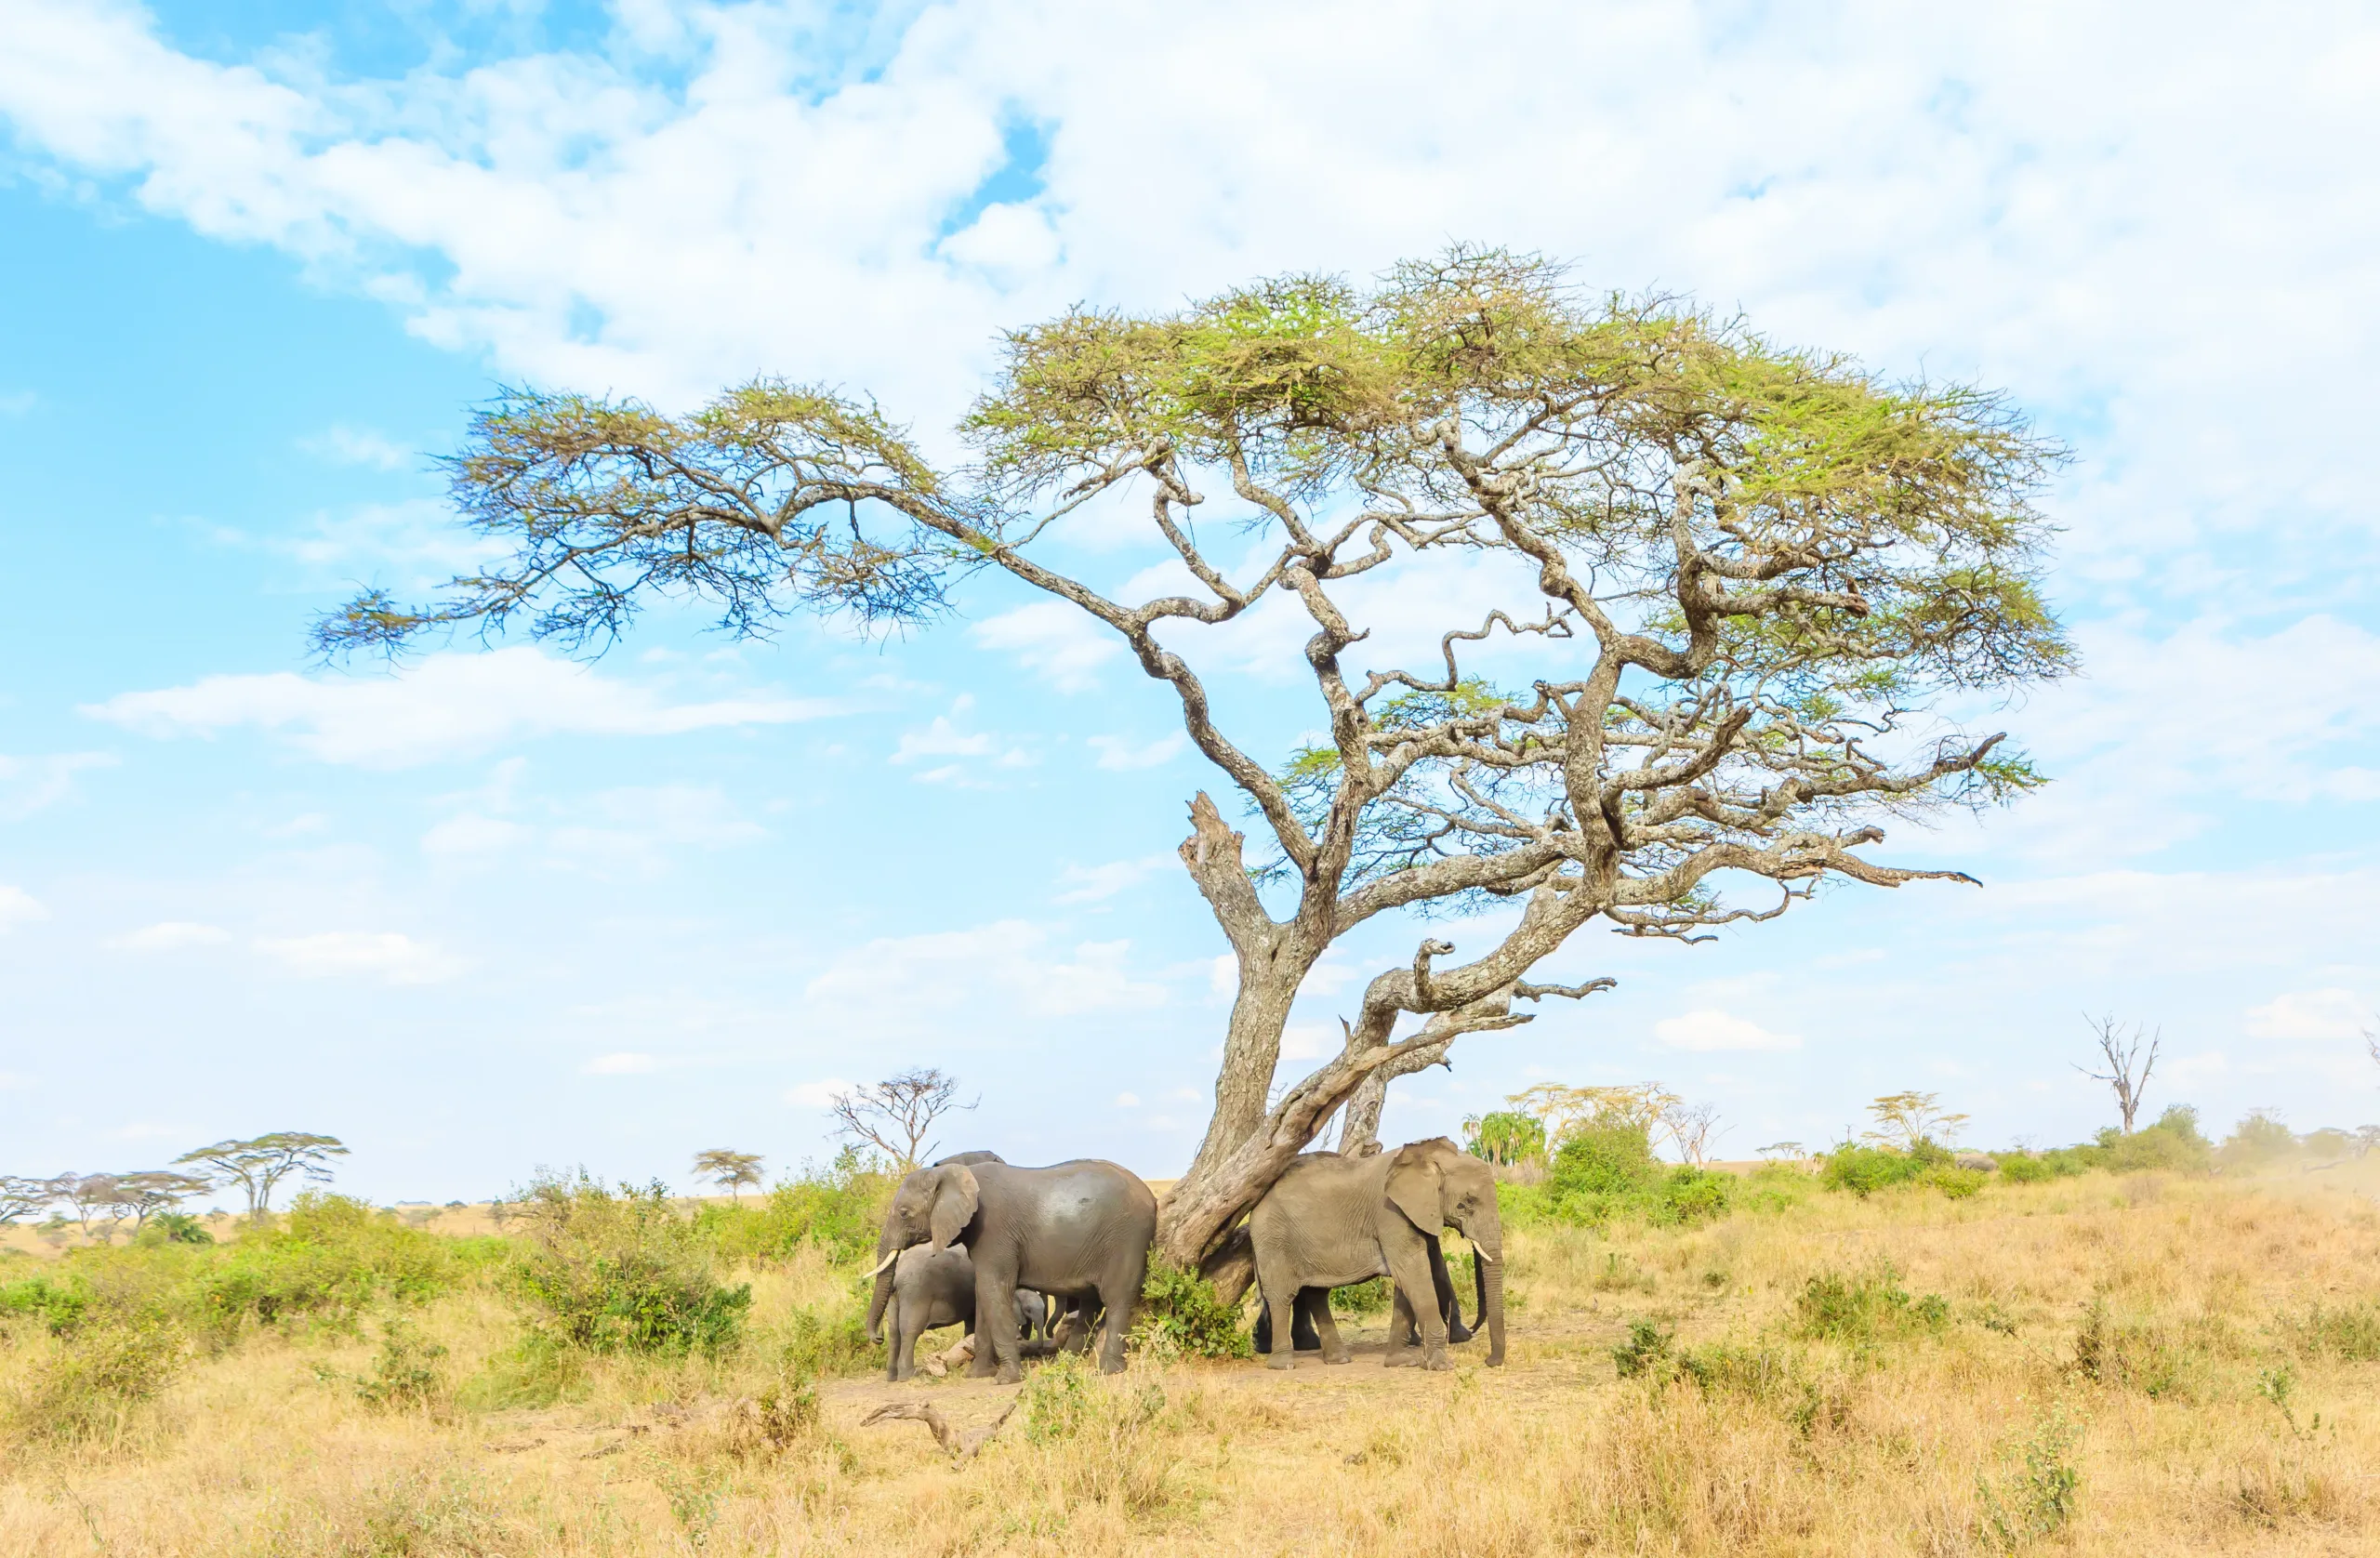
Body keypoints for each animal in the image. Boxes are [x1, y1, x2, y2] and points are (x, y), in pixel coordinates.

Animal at [872, 1157, 1156, 1382]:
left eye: (904, 1213)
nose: (877, 1338)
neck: (953, 1172)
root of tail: (1150, 1196)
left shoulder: (993, 1230)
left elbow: (994, 1290)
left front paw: (1005, 1379)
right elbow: (984, 1295)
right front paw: (977, 1375)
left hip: (1127, 1239)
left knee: (1116, 1298)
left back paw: (1109, 1370)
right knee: (1090, 1304)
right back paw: (1065, 1363)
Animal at [1247, 1137, 1505, 1371]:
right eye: (1466, 1203)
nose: (1489, 1361)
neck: (1425, 1158)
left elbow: (1407, 1282)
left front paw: (1401, 1362)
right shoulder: (1391, 1214)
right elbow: (1413, 1275)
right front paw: (1442, 1366)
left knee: (1317, 1294)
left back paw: (1339, 1359)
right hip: (1273, 1238)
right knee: (1282, 1296)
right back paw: (1283, 1365)